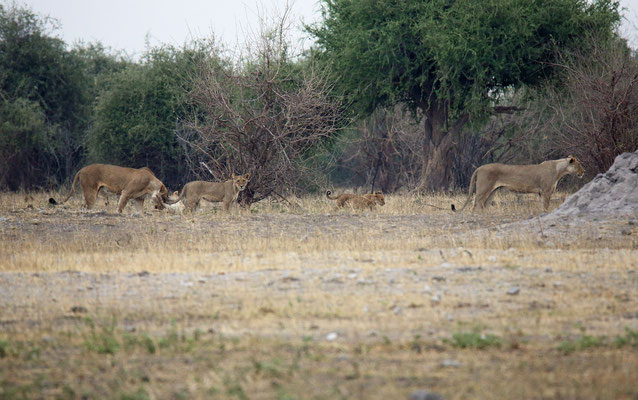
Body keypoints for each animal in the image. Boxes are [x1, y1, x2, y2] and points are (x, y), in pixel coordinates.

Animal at [456, 156, 584, 212]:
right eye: (578, 165)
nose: (584, 171)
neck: (559, 170)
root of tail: (479, 167)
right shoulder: (546, 192)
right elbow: (546, 206)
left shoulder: (541, 193)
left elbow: (542, 205)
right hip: (483, 189)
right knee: (475, 204)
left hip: (492, 191)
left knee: (484, 205)